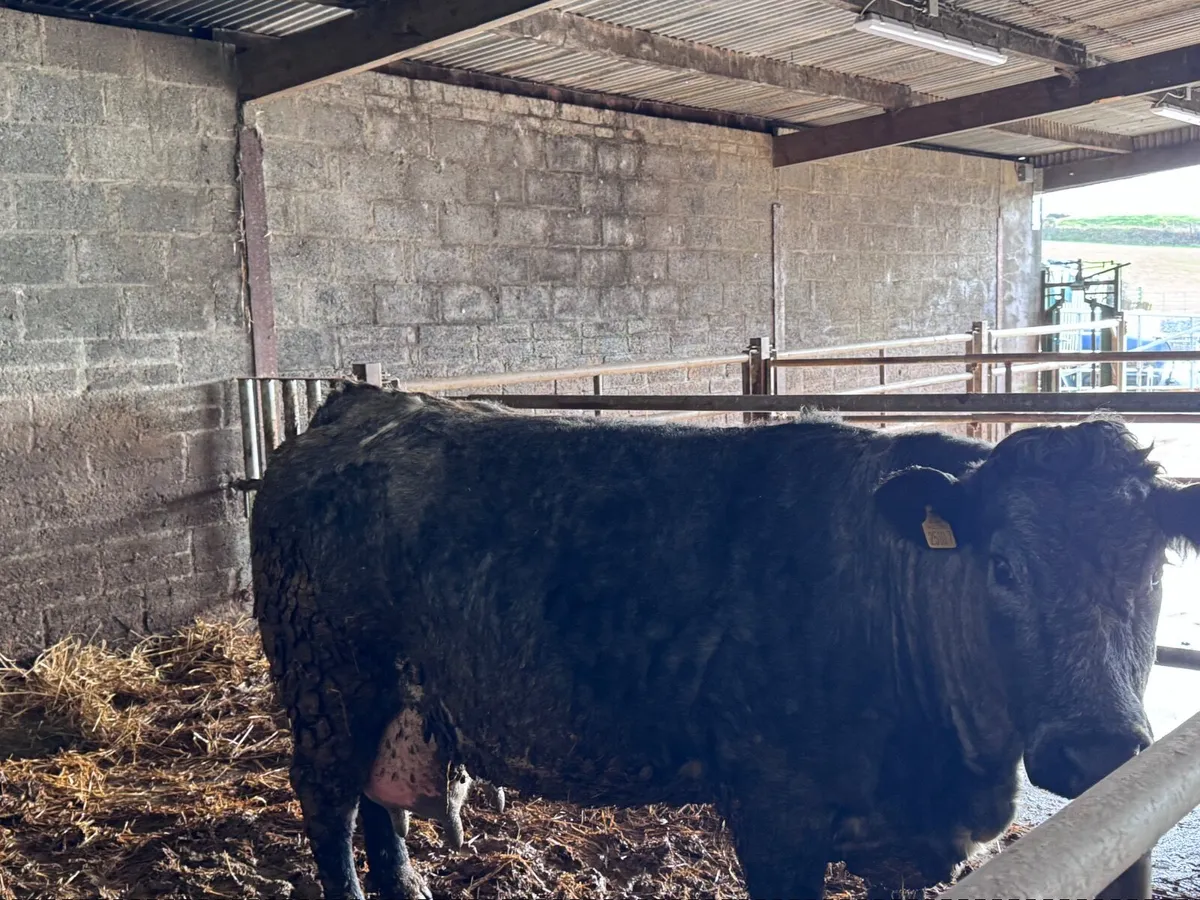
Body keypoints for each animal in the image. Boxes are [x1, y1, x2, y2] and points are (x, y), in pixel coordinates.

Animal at [249, 381, 1200, 900]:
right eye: (1002, 564)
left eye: (1153, 564)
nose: (1096, 749)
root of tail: (365, 402)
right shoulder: (775, 808)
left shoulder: (910, 847)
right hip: (326, 679)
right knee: (330, 804)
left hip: (385, 691)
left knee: (381, 800)